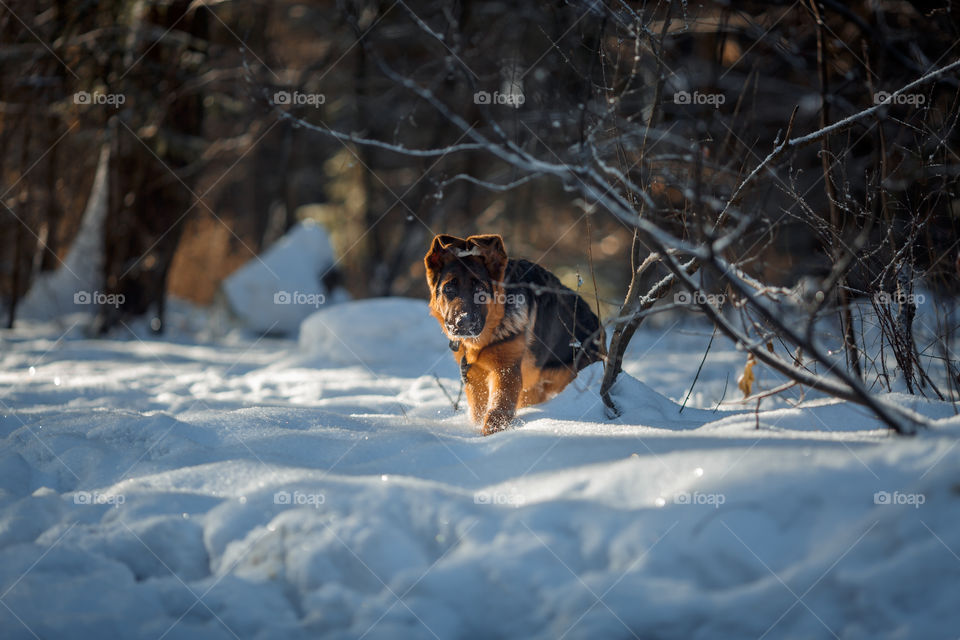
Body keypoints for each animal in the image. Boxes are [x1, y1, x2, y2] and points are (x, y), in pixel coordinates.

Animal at [426, 232, 604, 432]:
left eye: (480, 289)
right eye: (448, 288)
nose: (463, 323)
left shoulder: (506, 371)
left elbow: (496, 412)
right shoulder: (474, 376)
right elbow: (479, 412)